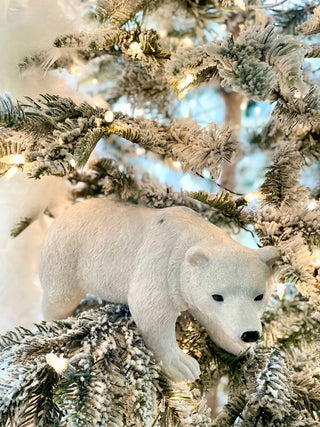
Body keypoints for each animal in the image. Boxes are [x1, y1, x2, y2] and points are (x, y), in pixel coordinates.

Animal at [39, 199, 280, 382]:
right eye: (217, 296)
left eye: (259, 296)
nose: (249, 334)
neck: (188, 238)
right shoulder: (161, 265)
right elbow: (152, 312)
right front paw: (184, 365)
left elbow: (208, 316)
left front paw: (236, 345)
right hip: (67, 256)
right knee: (58, 298)